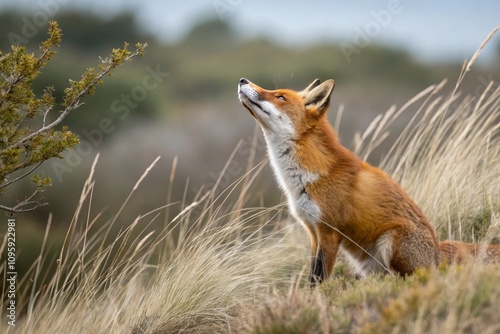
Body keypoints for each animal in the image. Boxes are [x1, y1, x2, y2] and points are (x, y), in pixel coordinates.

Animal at [237, 77, 500, 284]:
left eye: (280, 96)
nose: (242, 80)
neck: (307, 177)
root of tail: (436, 252)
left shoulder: (328, 232)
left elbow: (320, 279)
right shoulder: (312, 231)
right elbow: (312, 275)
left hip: (392, 241)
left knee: (408, 278)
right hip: (367, 262)